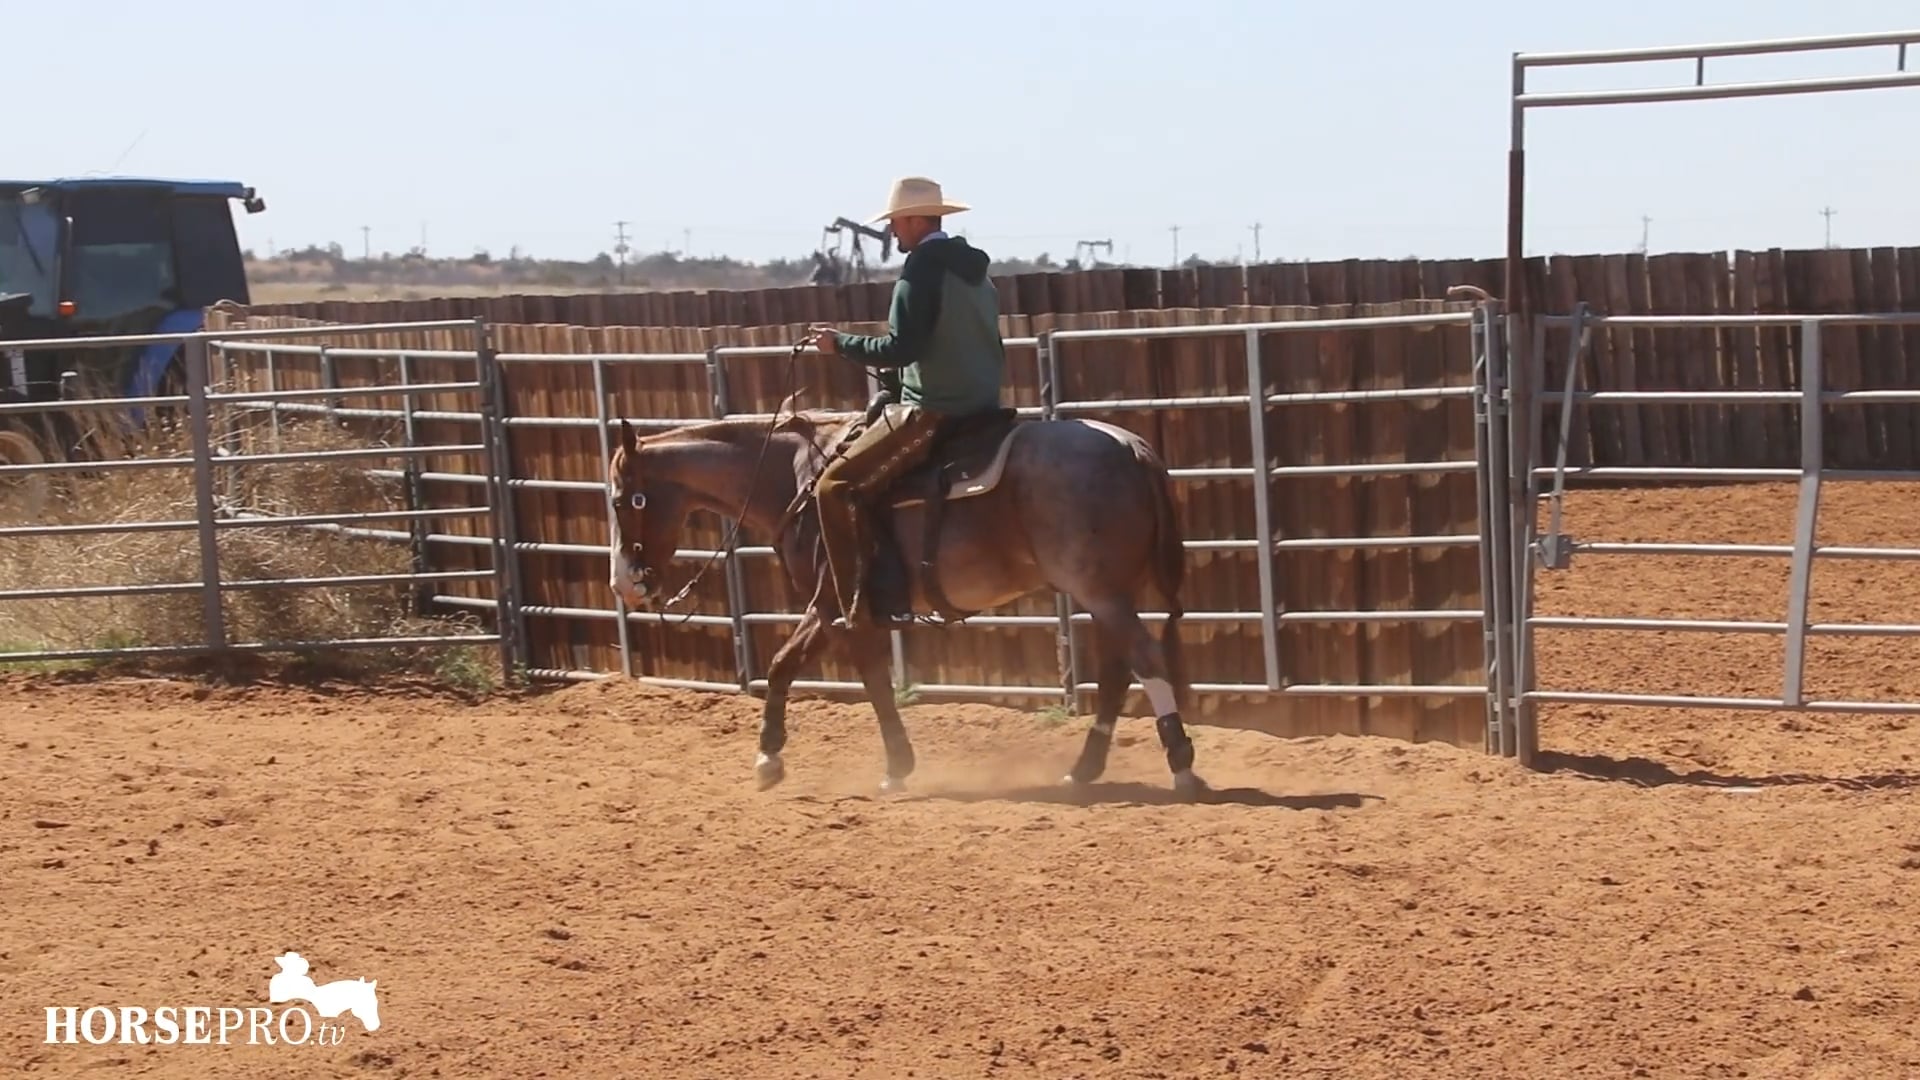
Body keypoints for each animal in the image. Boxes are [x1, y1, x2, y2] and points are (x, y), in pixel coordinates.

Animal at [605, 398, 1205, 798]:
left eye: (619, 499)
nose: (624, 585)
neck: (798, 477)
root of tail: (1131, 447)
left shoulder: (840, 607)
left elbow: (856, 680)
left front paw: (890, 766)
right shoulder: (837, 608)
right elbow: (793, 667)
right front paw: (773, 758)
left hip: (1101, 592)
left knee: (1142, 659)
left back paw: (1182, 766)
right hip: (1107, 592)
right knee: (1117, 671)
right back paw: (1084, 769)